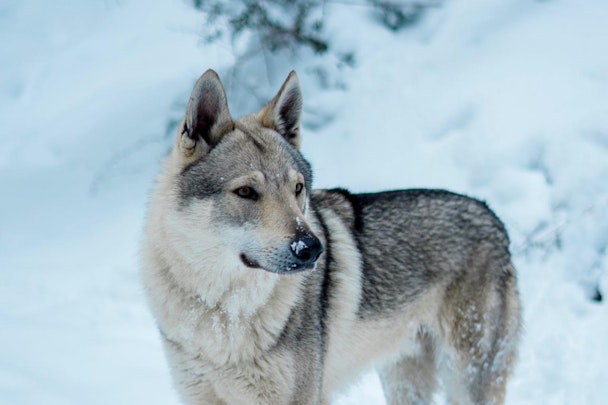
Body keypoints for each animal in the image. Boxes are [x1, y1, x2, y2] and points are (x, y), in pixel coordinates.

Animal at [140, 70, 520, 404]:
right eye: (246, 192)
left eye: (297, 188)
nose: (312, 249)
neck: (222, 312)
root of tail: (494, 218)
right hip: (405, 380)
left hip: (468, 378)